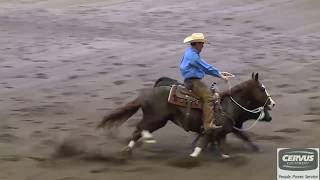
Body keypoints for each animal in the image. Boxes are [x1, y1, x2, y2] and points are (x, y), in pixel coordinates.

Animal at [97, 72, 276, 158]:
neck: (226, 105)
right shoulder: (212, 130)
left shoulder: (221, 132)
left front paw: (225, 155)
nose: (273, 104)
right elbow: (202, 144)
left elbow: (221, 145)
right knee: (140, 129)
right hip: (156, 119)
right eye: (262, 88)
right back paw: (145, 140)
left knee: (137, 131)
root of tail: (146, 95)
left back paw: (129, 149)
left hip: (157, 120)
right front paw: (193, 155)